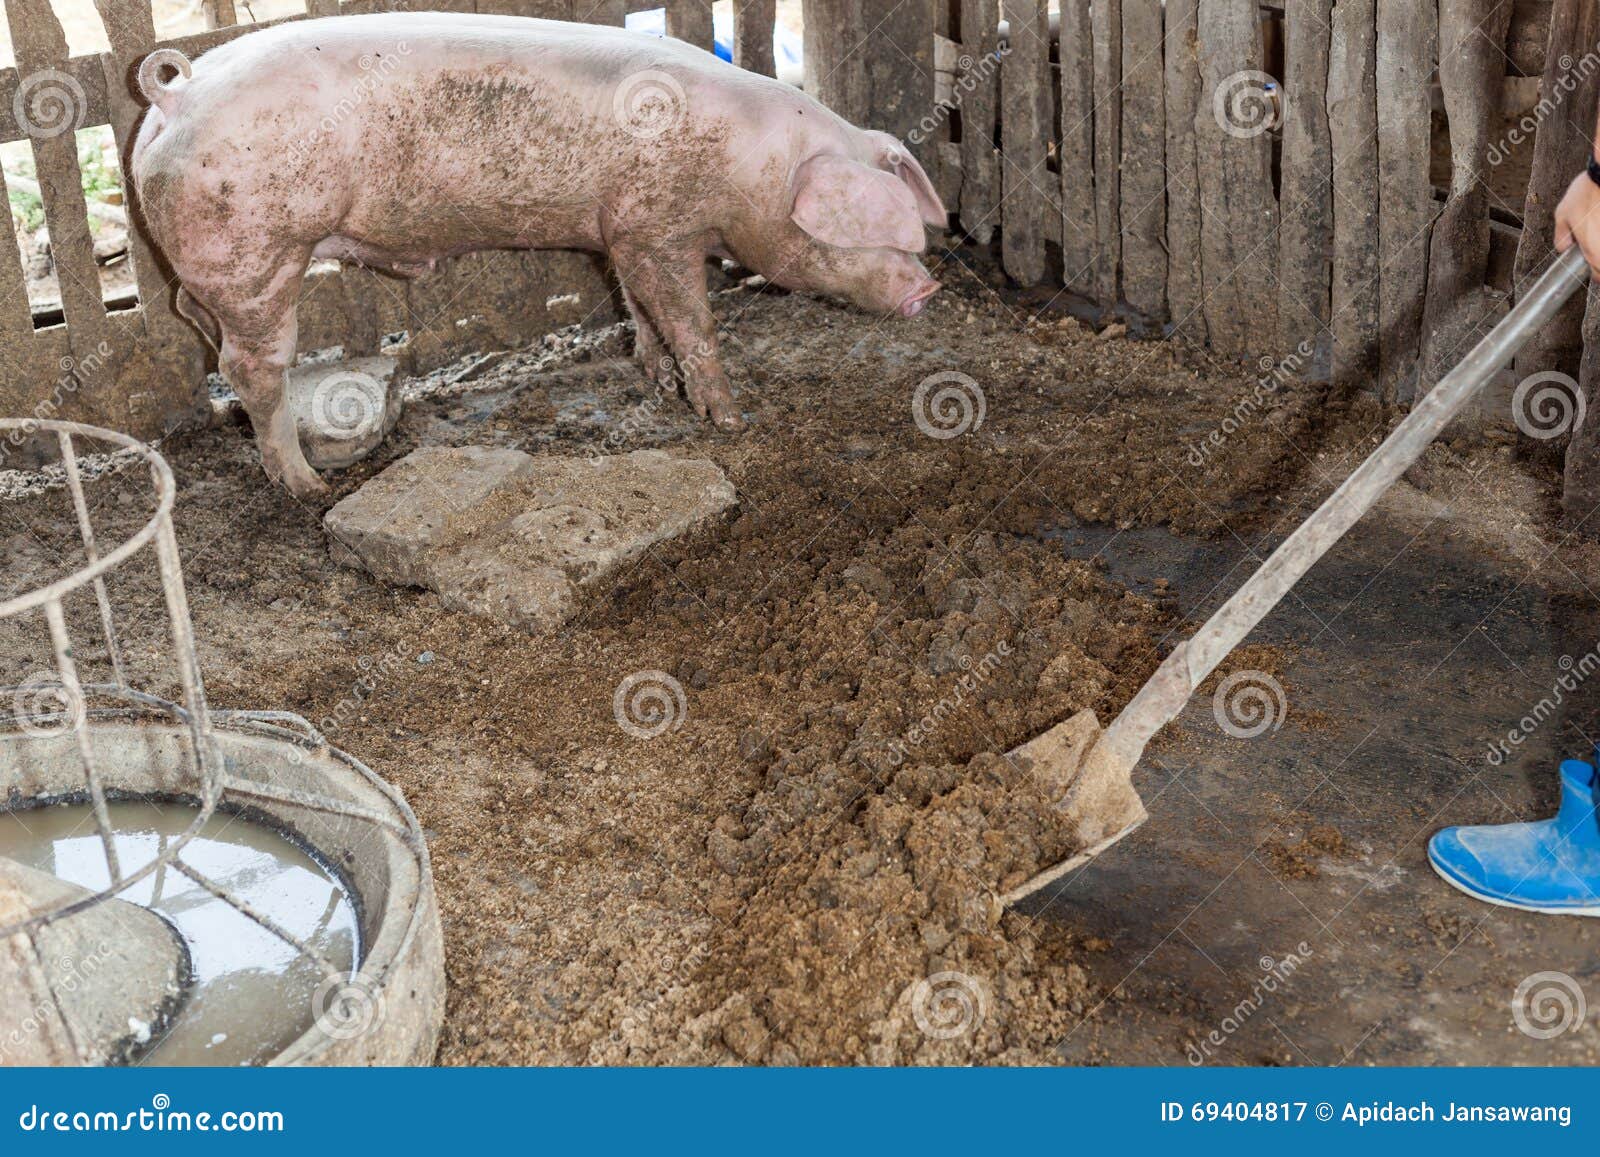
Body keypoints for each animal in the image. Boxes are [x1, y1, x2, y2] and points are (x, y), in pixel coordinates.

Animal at [129, 12, 946, 496]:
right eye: (868, 229)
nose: (928, 291)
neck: (751, 170)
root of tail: (176, 92)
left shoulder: (622, 228)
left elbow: (639, 307)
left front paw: (655, 379)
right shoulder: (659, 227)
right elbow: (691, 319)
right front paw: (729, 419)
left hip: (212, 261)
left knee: (191, 315)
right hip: (257, 254)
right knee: (252, 367)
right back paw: (306, 486)